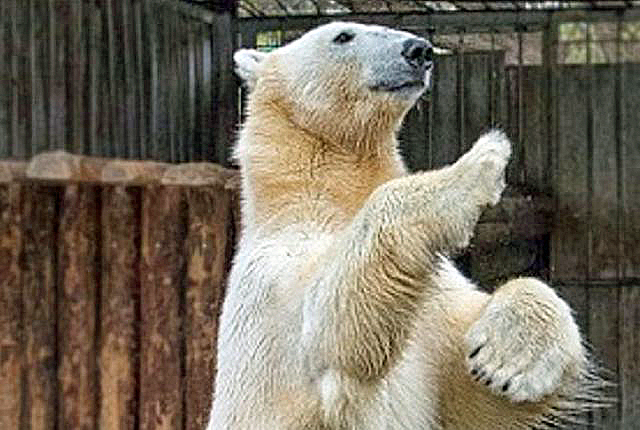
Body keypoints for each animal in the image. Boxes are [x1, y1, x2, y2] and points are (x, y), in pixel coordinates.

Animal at [206, 21, 604, 428]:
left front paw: (507, 362)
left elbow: (467, 383)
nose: (419, 50)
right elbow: (326, 324)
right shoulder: (272, 280)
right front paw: (479, 163)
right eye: (343, 36)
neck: (316, 197)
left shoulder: (431, 302)